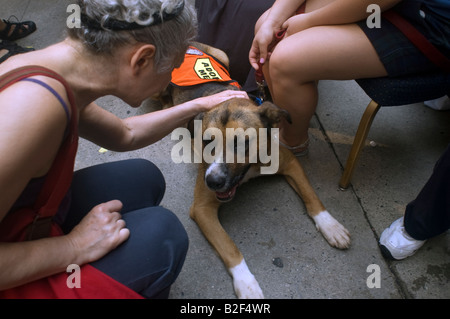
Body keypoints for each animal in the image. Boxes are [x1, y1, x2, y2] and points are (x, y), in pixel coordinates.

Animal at [163, 43, 350, 300]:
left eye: (242, 142)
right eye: (207, 141)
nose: (213, 182)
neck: (249, 170)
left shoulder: (291, 162)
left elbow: (312, 196)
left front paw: (331, 226)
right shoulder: (202, 208)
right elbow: (230, 247)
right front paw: (246, 283)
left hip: (222, 55)